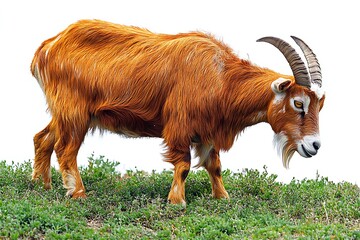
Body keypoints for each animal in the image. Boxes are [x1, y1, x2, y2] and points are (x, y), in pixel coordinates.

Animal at [31, 19, 324, 205]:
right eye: (298, 103)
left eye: (320, 104)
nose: (314, 145)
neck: (222, 77)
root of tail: (48, 46)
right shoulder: (180, 125)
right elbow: (183, 165)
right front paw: (177, 201)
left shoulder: (209, 130)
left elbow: (215, 165)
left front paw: (222, 197)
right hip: (75, 112)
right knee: (66, 149)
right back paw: (77, 193)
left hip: (64, 112)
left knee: (42, 138)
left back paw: (40, 185)